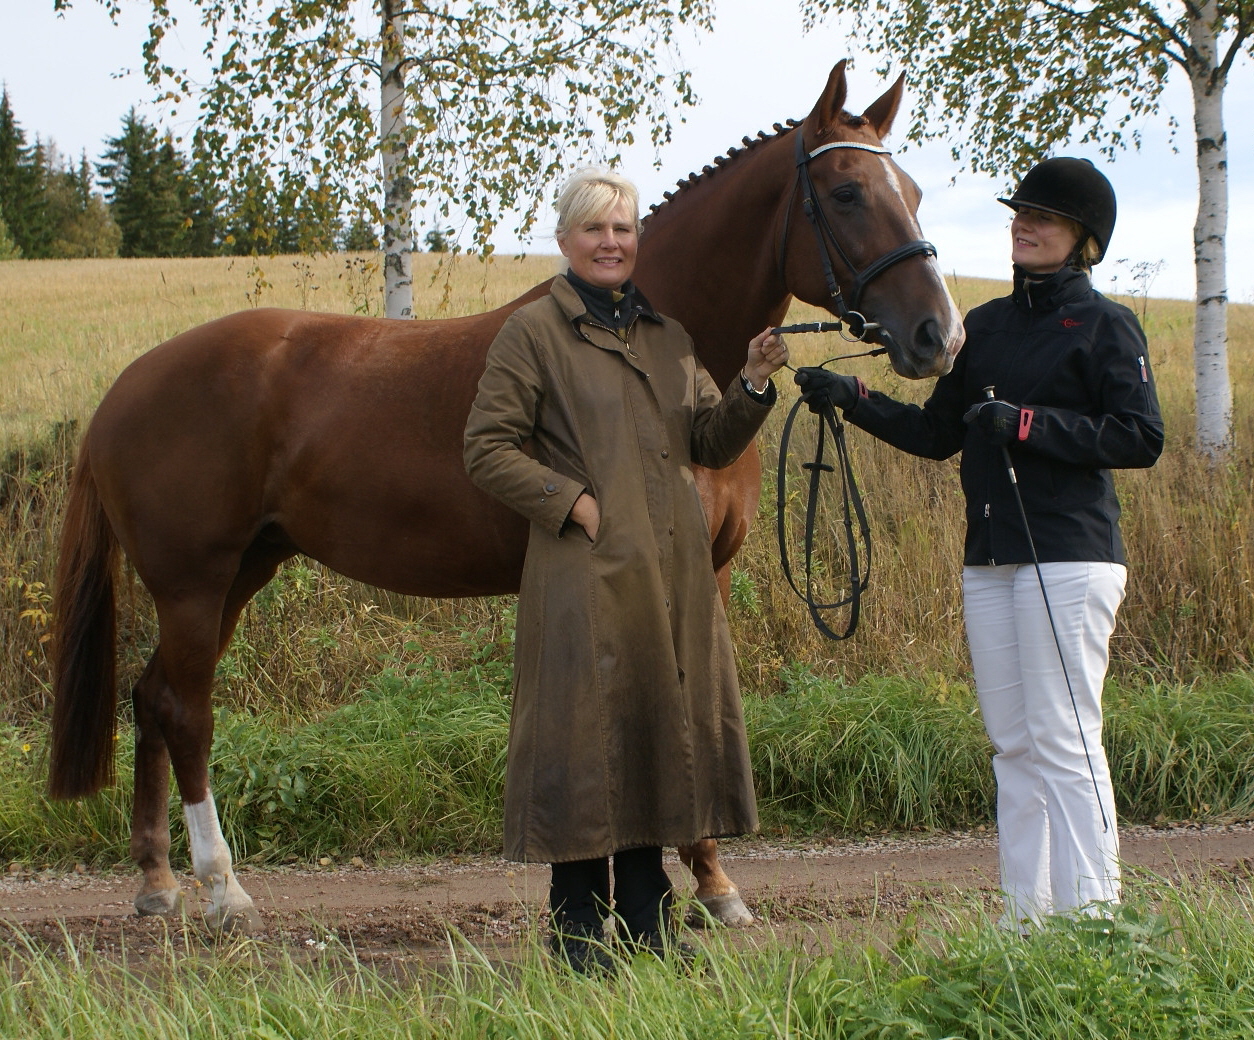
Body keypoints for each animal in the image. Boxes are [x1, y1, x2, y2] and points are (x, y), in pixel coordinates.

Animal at [48, 60, 963, 928]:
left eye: (915, 193)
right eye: (845, 192)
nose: (939, 336)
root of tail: (125, 389)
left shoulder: (710, 567)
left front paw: (712, 881)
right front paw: (699, 879)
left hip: (243, 570)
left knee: (151, 698)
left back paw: (157, 882)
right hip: (195, 582)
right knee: (186, 709)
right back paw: (222, 887)